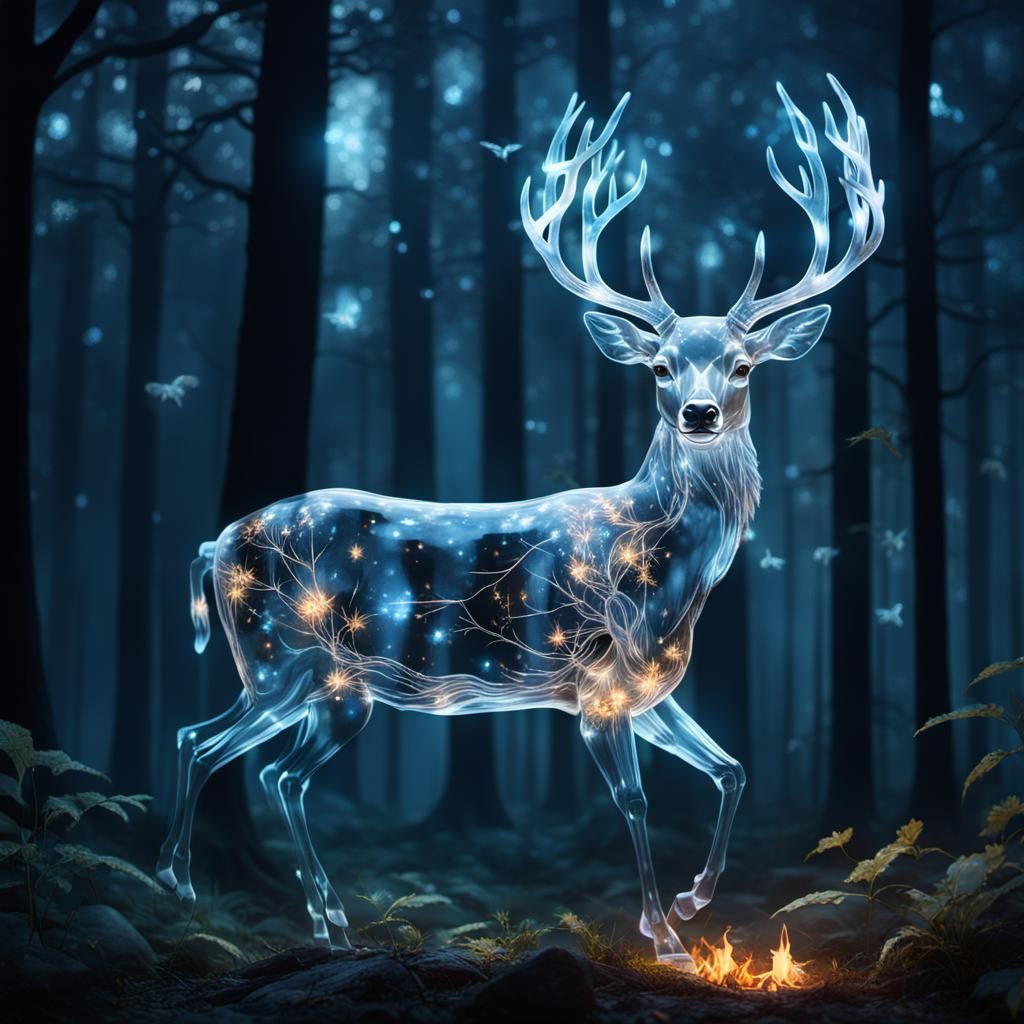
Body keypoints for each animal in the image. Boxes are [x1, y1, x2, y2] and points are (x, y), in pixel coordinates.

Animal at [157, 74, 883, 969]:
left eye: (743, 366)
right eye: (660, 367)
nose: (701, 413)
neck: (671, 576)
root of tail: (213, 540)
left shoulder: (651, 687)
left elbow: (733, 769)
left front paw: (694, 899)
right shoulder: (600, 684)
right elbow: (637, 801)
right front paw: (668, 938)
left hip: (300, 679)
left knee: (227, 751)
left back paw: (268, 906)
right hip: (296, 662)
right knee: (247, 760)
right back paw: (256, 901)